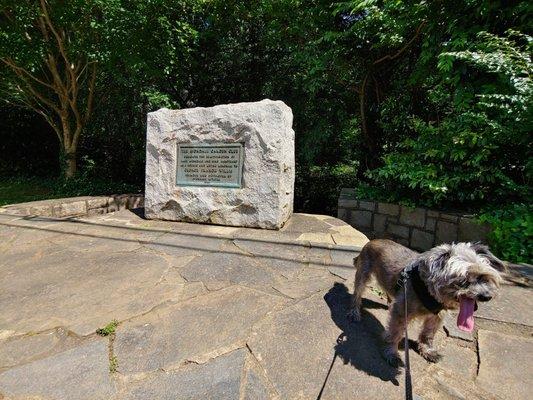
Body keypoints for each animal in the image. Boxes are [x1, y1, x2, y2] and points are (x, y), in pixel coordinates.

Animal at [348, 239, 504, 368]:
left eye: (483, 277)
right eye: (463, 280)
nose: (486, 296)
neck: (429, 291)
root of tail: (373, 240)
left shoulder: (436, 317)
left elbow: (427, 335)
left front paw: (427, 350)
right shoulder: (401, 312)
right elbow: (395, 333)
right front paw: (391, 353)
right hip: (363, 275)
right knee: (356, 295)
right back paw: (354, 312)